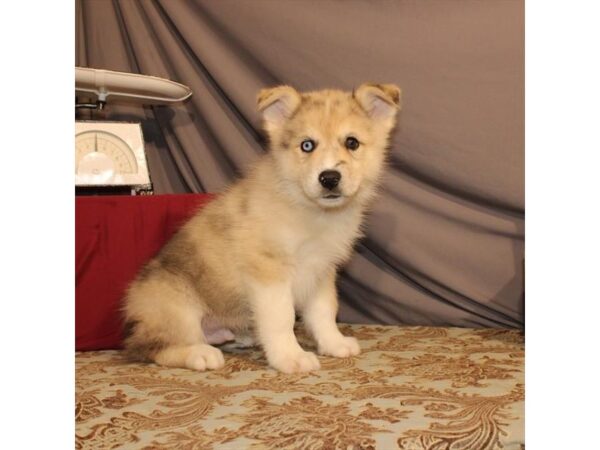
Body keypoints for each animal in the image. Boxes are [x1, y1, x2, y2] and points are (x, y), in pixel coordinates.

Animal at [121, 83, 400, 372]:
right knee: (148, 347)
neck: (309, 210)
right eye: (307, 145)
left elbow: (324, 312)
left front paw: (333, 343)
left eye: (352, 142)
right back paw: (200, 354)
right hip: (177, 308)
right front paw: (290, 357)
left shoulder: (321, 270)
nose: (330, 178)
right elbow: (282, 318)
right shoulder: (268, 270)